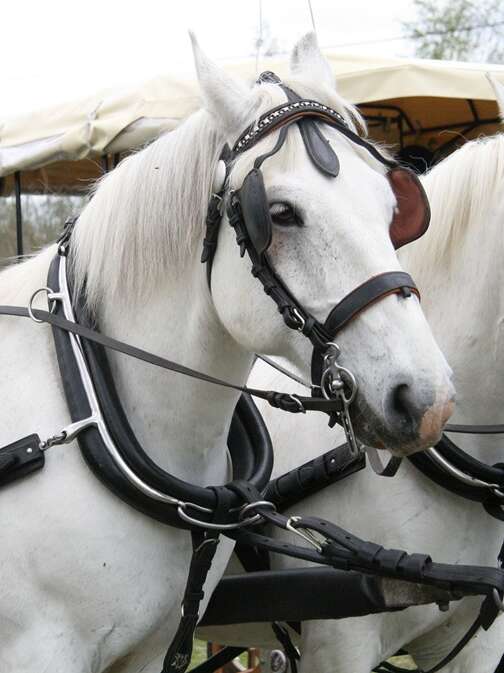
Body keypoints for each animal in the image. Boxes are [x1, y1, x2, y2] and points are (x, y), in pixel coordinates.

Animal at [0, 35, 452, 672]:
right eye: (280, 213)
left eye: (393, 208)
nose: (427, 401)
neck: (88, 401)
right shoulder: (38, 650)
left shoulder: (148, 647)